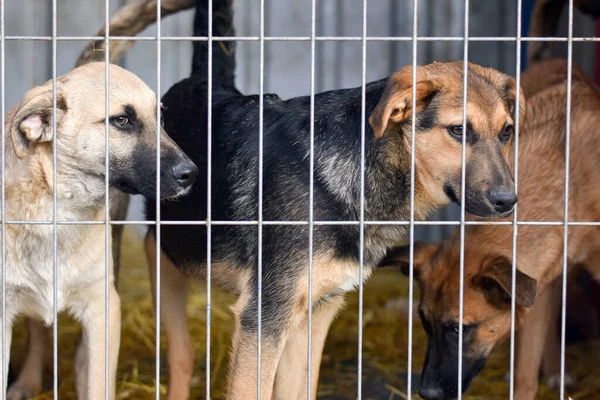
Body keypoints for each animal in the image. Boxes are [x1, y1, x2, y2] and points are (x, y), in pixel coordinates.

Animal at [1, 61, 198, 398]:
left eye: (160, 118)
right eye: (121, 120)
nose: (192, 174)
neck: (58, 211)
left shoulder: (103, 308)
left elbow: (97, 384)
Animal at [382, 58, 600, 400]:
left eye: (460, 329)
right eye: (424, 321)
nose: (427, 393)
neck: (569, 180)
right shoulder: (537, 281)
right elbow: (525, 374)